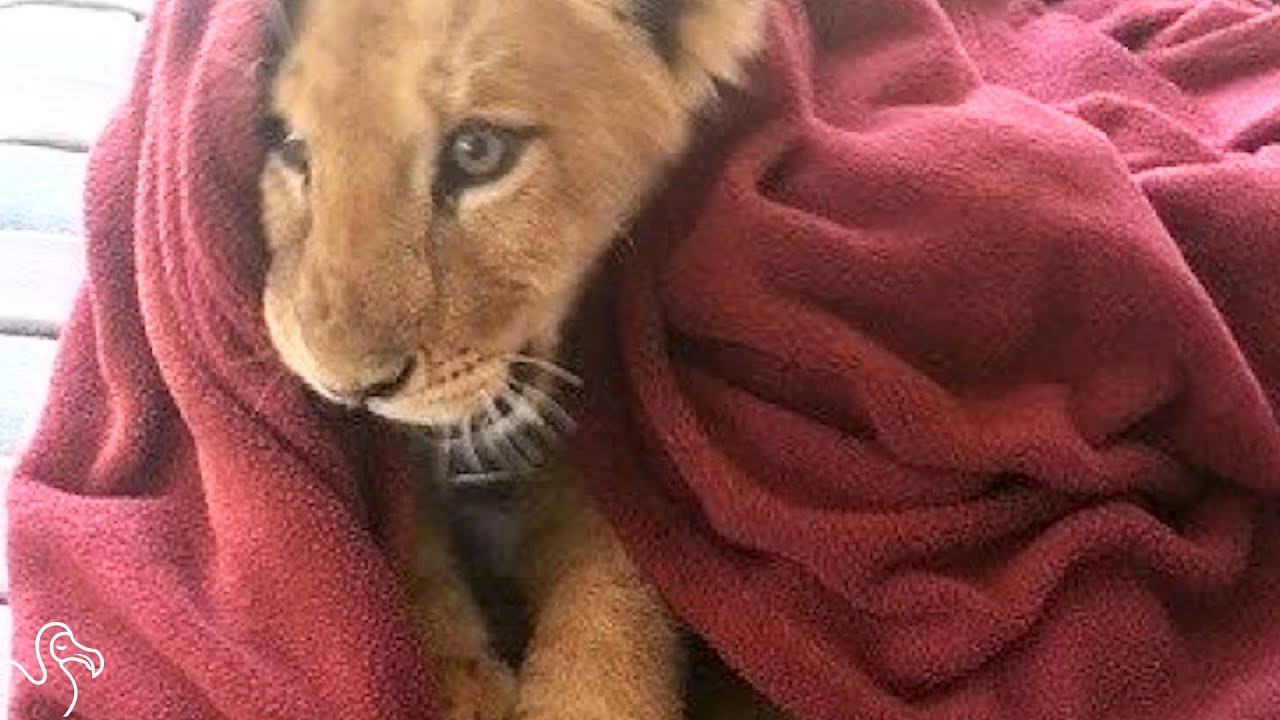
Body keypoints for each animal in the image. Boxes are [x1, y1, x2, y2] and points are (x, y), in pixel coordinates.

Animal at [258, 0, 782, 718]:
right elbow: (409, 555)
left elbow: (617, 582)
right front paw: (459, 687)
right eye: (287, 145)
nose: (349, 388)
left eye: (478, 151)